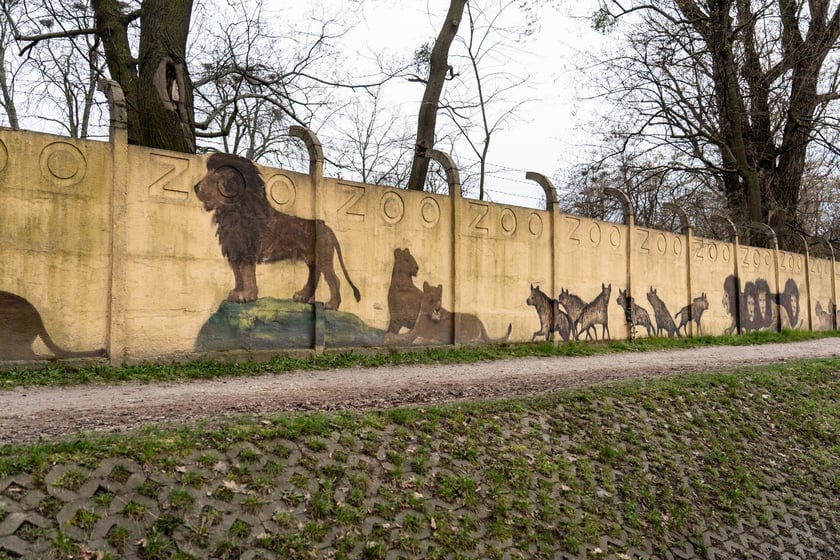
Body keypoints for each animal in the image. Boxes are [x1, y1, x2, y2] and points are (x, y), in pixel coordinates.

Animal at [195, 153, 362, 310]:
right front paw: (237, 293)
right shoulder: (235, 249)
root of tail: (328, 228)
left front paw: (247, 295)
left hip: (323, 256)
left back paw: (332, 305)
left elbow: (246, 273)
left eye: (216, 177)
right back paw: (303, 297)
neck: (233, 210)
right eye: (207, 172)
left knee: (333, 279)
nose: (196, 187)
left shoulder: (247, 250)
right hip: (311, 258)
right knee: (314, 275)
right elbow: (238, 275)